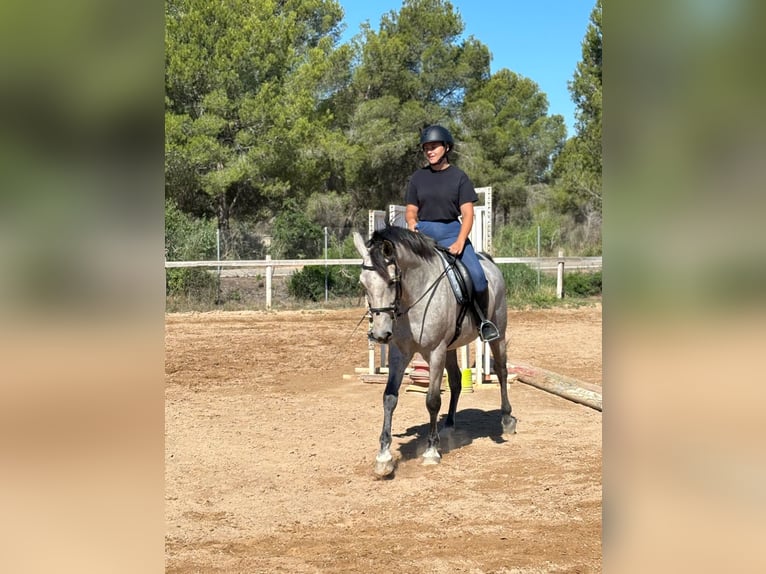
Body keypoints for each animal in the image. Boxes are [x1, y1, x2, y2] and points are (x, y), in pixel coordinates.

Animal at [354, 227, 516, 480]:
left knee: (501, 371)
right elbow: (389, 398)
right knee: (457, 381)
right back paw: (448, 426)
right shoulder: (399, 353)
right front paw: (384, 458)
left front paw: (431, 451)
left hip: (496, 334)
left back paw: (507, 419)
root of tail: (487, 260)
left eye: (392, 281)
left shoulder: (435, 351)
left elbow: (432, 400)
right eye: (363, 284)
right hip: (451, 347)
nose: (379, 335)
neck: (413, 297)